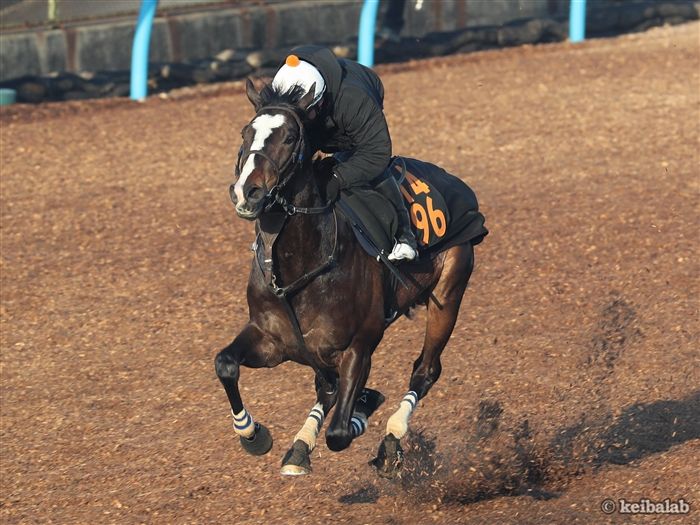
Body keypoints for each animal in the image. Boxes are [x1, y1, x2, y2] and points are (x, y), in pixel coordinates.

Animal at [215, 78, 482, 477]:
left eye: (290, 137)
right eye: (246, 132)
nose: (247, 191)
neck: (302, 267)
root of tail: (459, 186)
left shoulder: (359, 344)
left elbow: (340, 432)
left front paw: (362, 409)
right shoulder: (271, 339)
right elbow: (226, 364)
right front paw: (253, 435)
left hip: (448, 294)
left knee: (425, 370)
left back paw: (390, 441)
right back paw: (300, 447)